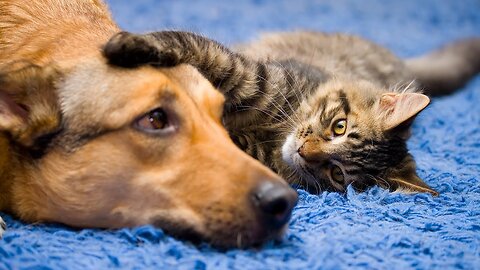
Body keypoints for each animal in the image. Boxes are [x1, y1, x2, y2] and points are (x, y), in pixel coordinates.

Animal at [102, 30, 480, 195]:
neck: (275, 131)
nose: (303, 151)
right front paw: (125, 45)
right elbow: (184, 44)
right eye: (339, 126)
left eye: (337, 173)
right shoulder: (248, 75)